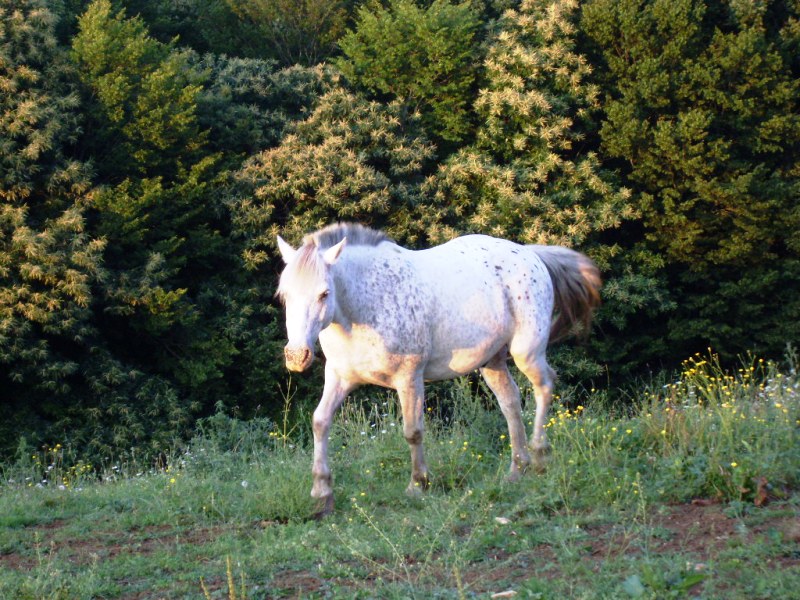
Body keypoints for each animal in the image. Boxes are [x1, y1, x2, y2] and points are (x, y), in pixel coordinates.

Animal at [276, 223, 601, 516]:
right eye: (284, 295)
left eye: (324, 293)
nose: (297, 356)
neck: (367, 305)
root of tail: (531, 254)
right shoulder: (339, 378)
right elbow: (320, 422)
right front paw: (321, 495)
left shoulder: (409, 378)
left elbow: (413, 431)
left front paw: (418, 484)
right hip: (493, 363)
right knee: (510, 402)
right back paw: (516, 469)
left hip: (527, 352)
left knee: (544, 387)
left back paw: (540, 456)